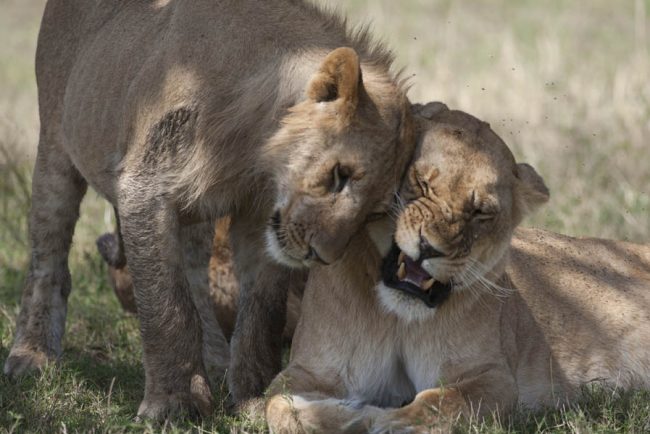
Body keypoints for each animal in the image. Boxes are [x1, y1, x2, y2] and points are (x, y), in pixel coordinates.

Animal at [3, 0, 416, 420]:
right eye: (339, 174)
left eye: (374, 212)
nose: (322, 256)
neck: (253, 145)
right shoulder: (144, 188)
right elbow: (167, 304)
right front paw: (173, 403)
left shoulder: (258, 214)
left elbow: (260, 313)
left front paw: (253, 397)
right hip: (55, 146)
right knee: (48, 257)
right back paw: (32, 357)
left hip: (194, 215)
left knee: (195, 278)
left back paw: (216, 364)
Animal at [264, 103, 648, 432]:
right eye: (421, 182)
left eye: (480, 212)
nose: (428, 248)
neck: (398, 319)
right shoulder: (308, 370)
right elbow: (280, 404)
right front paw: (348, 417)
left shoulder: (493, 376)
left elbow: (445, 402)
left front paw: (391, 421)